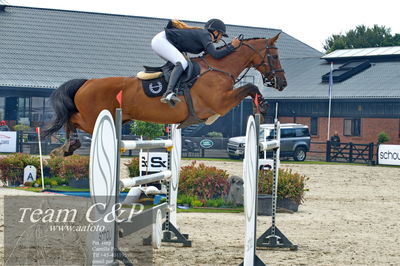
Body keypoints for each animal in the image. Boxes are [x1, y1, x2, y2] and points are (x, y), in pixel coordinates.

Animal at [43, 33, 286, 156]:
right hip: (93, 118)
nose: (282, 83)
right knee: (71, 119)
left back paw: (66, 148)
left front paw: (263, 107)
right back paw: (67, 147)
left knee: (70, 119)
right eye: (274, 56)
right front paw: (262, 107)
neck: (219, 68)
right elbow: (249, 88)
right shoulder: (220, 103)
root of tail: (87, 82)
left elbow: (250, 89)